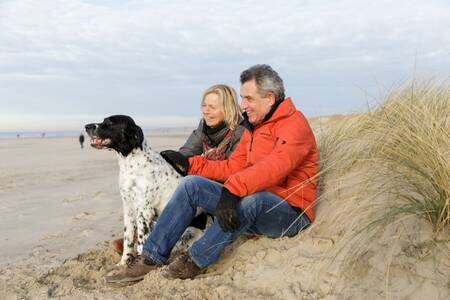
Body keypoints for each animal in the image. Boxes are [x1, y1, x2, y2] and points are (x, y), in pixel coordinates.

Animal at [84, 116, 204, 266]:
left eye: (109, 122)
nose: (86, 126)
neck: (131, 165)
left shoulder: (144, 210)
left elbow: (141, 242)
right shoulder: (128, 208)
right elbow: (128, 238)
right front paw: (124, 262)